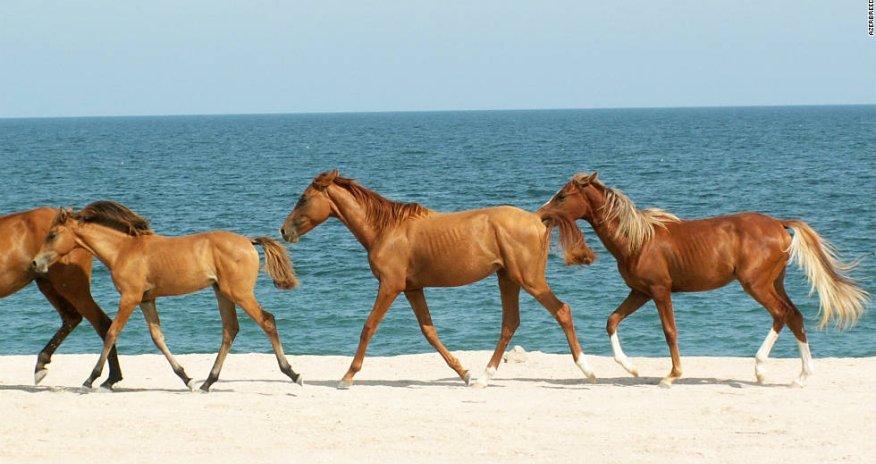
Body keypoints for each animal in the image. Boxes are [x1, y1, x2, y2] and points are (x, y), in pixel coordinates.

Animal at [31, 201, 302, 391]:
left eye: (52, 234)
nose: (35, 262)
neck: (122, 251)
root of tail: (248, 241)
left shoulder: (129, 298)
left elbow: (111, 333)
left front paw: (92, 379)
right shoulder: (146, 300)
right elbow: (157, 337)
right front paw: (186, 378)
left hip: (239, 293)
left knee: (266, 321)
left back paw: (293, 373)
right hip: (223, 293)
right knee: (230, 330)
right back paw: (207, 382)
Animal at [280, 169, 597, 388]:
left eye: (304, 198)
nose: (284, 231)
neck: (385, 229)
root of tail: (537, 219)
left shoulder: (390, 286)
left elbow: (368, 327)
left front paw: (347, 376)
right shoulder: (413, 289)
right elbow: (429, 332)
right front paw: (464, 373)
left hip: (529, 279)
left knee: (562, 311)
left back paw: (588, 370)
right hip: (508, 279)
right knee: (510, 323)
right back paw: (483, 377)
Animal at [537, 172, 869, 387]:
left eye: (563, 196)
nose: (540, 215)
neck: (637, 240)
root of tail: (778, 224)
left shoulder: (660, 291)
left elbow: (670, 331)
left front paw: (671, 375)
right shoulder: (639, 292)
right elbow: (612, 321)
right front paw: (631, 368)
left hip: (757, 284)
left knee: (781, 314)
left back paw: (761, 370)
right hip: (775, 282)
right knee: (795, 316)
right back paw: (800, 377)